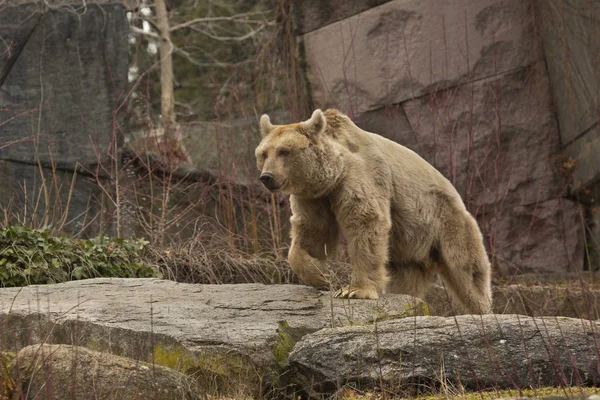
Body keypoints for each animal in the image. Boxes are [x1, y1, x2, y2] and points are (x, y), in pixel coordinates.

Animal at [254, 108, 492, 314]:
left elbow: (365, 221)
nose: (267, 177)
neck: (332, 176)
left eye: (284, 151)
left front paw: (353, 290)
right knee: (406, 277)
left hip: (447, 222)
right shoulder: (314, 197)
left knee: (467, 271)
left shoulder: (360, 175)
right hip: (411, 245)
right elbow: (312, 231)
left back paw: (482, 310)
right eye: (264, 153)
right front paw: (321, 275)